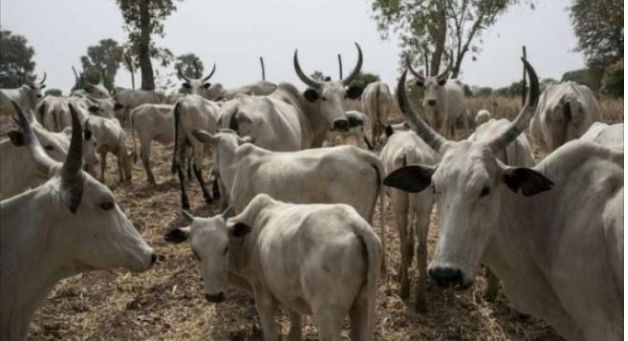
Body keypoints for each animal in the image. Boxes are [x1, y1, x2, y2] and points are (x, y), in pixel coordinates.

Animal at [167, 194, 380, 340]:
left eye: (225, 247)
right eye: (195, 252)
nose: (214, 296)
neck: (249, 238)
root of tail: (355, 224)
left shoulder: (263, 298)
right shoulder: (290, 293)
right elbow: (295, 327)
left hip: (327, 315)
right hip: (361, 305)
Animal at [378, 127, 436, 310]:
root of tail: (410, 150)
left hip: (399, 202)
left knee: (402, 241)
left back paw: (404, 288)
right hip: (425, 205)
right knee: (422, 248)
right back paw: (421, 301)